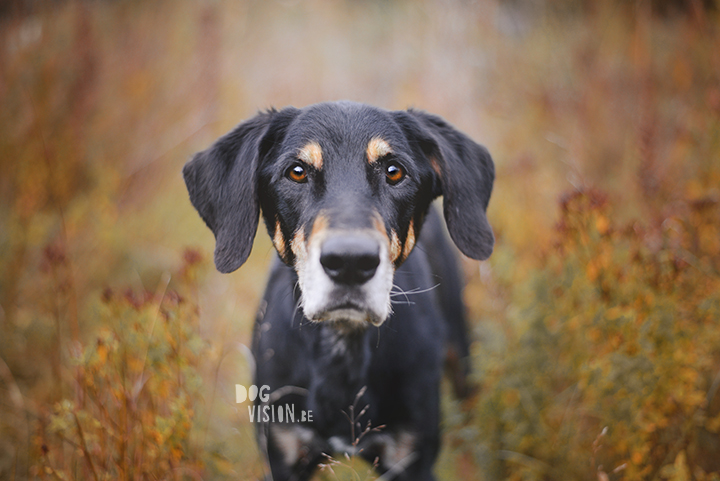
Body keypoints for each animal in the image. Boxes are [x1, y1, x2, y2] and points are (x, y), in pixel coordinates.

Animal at [183, 99, 492, 478]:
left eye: (394, 171)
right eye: (296, 171)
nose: (350, 261)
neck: (343, 349)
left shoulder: (410, 457)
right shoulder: (283, 451)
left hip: (460, 352)